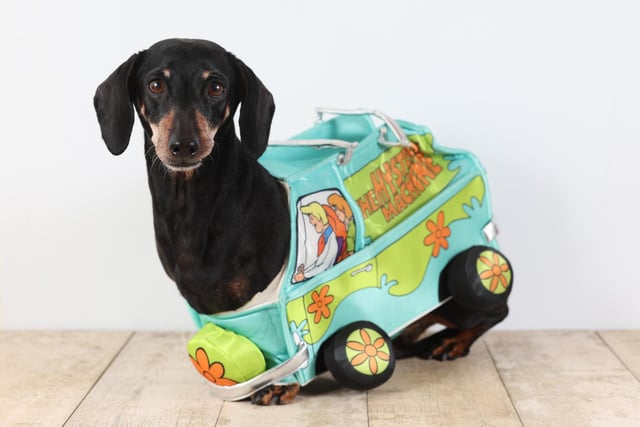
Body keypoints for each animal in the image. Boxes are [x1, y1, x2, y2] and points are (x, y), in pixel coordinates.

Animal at [92, 38, 508, 406]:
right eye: (155, 84)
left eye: (216, 86)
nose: (183, 147)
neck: (194, 207)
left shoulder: (277, 305)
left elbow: (290, 348)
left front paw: (283, 384)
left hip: (463, 278)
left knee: (492, 308)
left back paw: (450, 340)